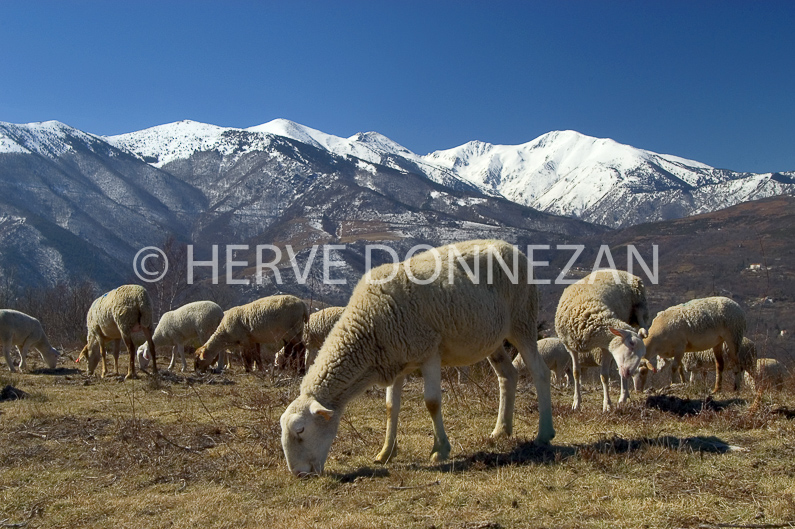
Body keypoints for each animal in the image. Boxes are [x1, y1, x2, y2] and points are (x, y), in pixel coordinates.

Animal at [280, 237, 552, 476]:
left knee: (540, 371)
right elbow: (391, 407)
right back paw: (501, 431)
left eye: (300, 430)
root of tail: (512, 248)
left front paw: (440, 450)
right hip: (492, 338)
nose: (298, 474)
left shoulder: (429, 352)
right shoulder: (396, 361)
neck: (368, 330)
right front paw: (385, 453)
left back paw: (544, 434)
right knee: (508, 375)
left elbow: (432, 402)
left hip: (522, 320)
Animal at [556, 268, 648, 412]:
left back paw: (623, 396)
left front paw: (607, 404)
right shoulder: (571, 347)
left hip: (640, 307)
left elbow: (604, 376)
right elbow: (576, 373)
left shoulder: (606, 347)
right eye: (631, 343)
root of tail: (621, 271)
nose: (629, 373)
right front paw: (576, 402)